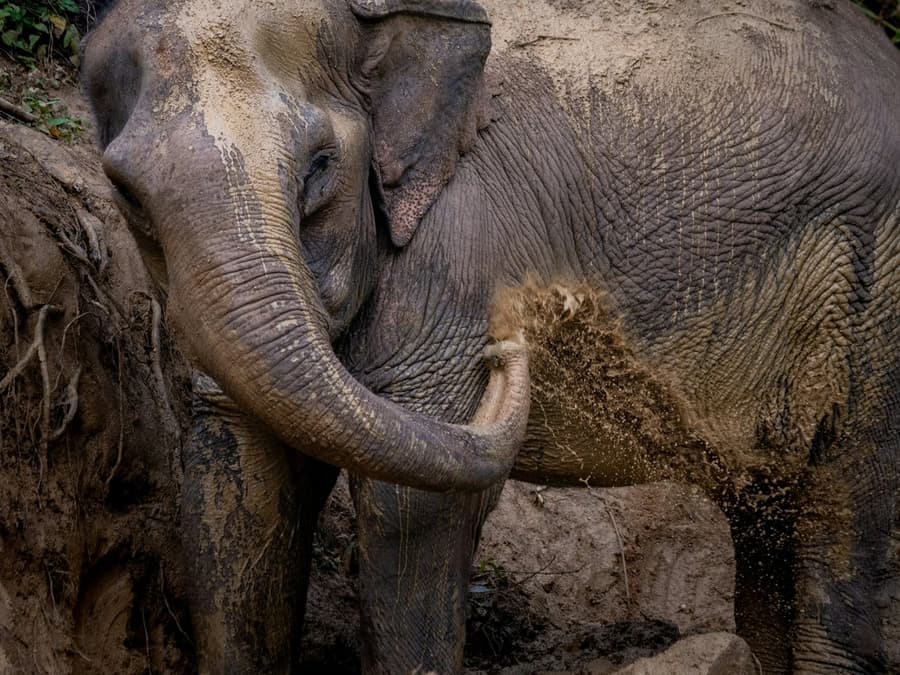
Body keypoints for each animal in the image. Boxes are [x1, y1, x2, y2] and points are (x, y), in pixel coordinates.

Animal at [81, 0, 900, 672]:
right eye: (125, 193)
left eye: (319, 166)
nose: (513, 341)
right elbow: (238, 482)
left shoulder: (458, 253)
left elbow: (407, 509)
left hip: (878, 300)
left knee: (843, 517)